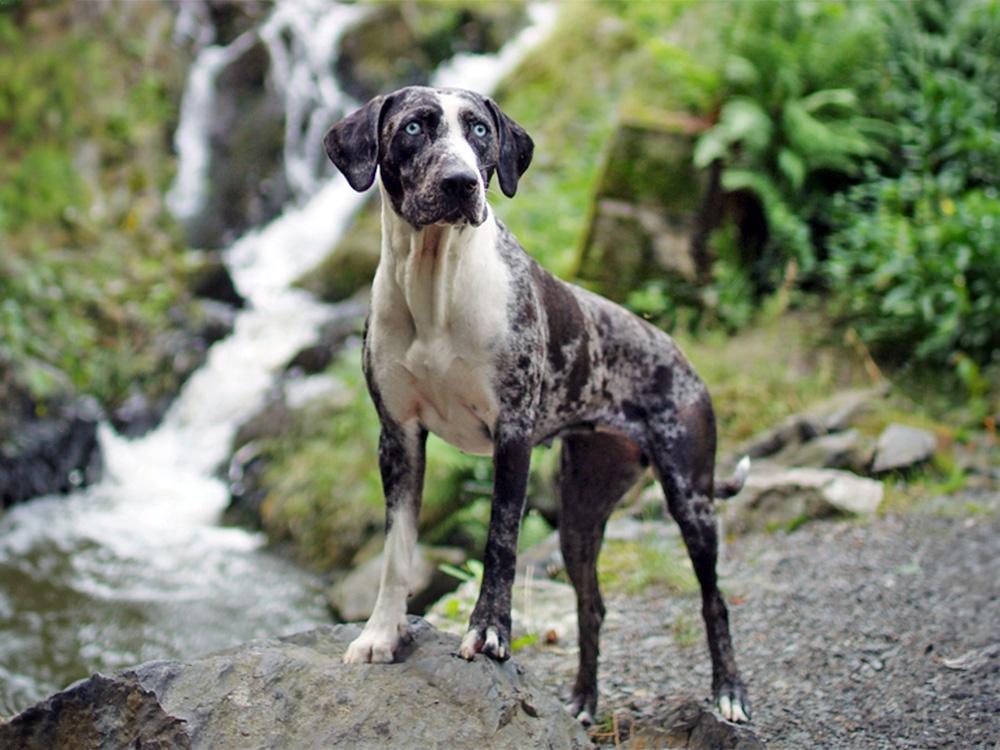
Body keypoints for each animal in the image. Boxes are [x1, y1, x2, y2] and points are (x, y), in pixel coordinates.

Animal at [322, 85, 752, 724]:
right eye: (414, 128)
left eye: (479, 130)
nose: (460, 183)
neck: (435, 286)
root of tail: (682, 356)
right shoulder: (398, 438)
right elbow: (397, 552)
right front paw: (380, 635)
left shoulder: (513, 435)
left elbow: (500, 541)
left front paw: (489, 634)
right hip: (579, 516)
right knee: (592, 606)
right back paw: (582, 702)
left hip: (691, 497)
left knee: (714, 601)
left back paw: (728, 693)